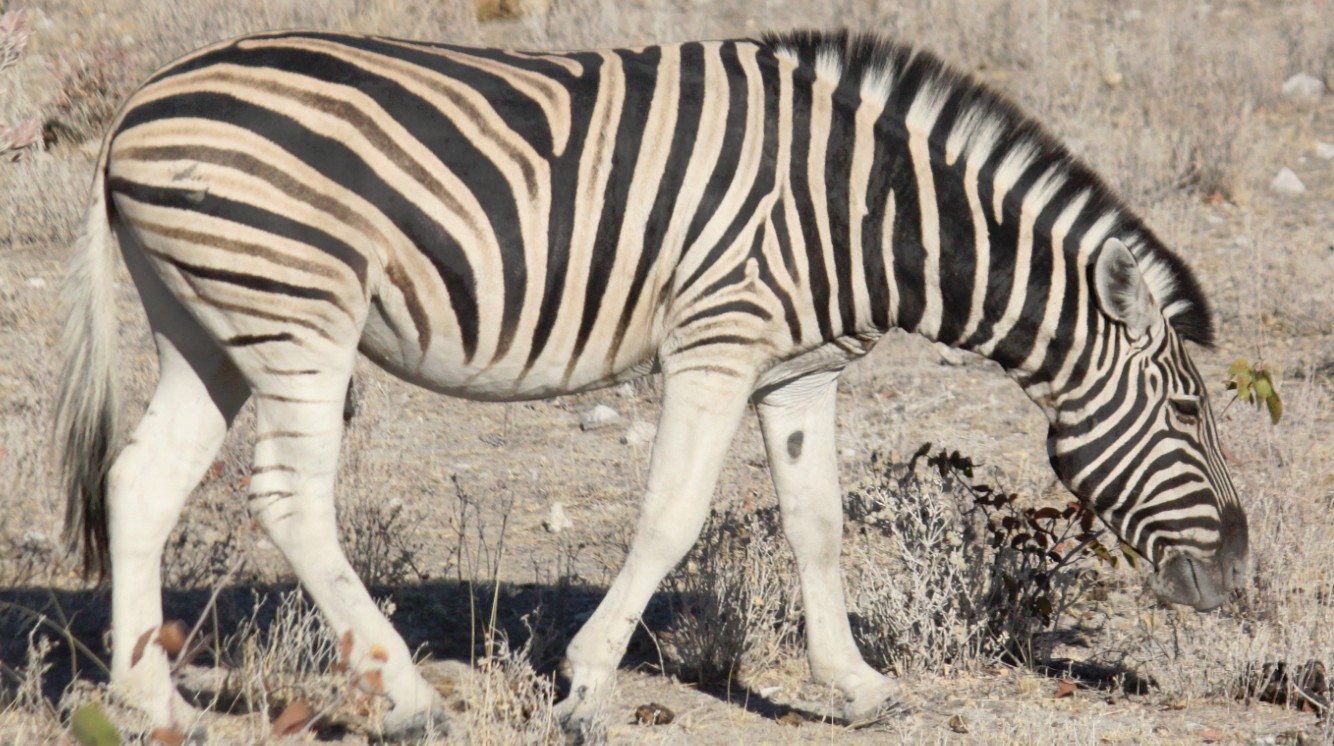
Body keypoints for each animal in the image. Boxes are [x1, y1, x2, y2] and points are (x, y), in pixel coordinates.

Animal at [60, 27, 1248, 736]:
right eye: (1189, 409)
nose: (1238, 577)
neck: (865, 209)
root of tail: (138, 107)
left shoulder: (799, 375)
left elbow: (816, 524)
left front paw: (855, 685)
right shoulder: (717, 340)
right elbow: (671, 516)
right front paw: (586, 681)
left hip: (207, 325)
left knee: (140, 484)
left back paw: (151, 704)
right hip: (300, 312)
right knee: (290, 498)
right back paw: (402, 696)